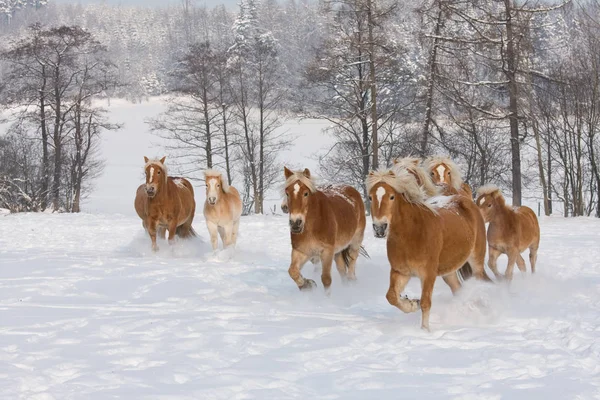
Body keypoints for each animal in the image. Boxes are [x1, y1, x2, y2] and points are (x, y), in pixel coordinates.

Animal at [366, 170, 492, 330]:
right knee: (458, 289)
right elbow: (391, 296)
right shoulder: (400, 272)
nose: (379, 228)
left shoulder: (428, 274)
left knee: (484, 281)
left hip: (476, 262)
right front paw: (412, 304)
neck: (412, 234)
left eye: (392, 196)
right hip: (449, 272)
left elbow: (426, 303)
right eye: (370, 197)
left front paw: (425, 330)